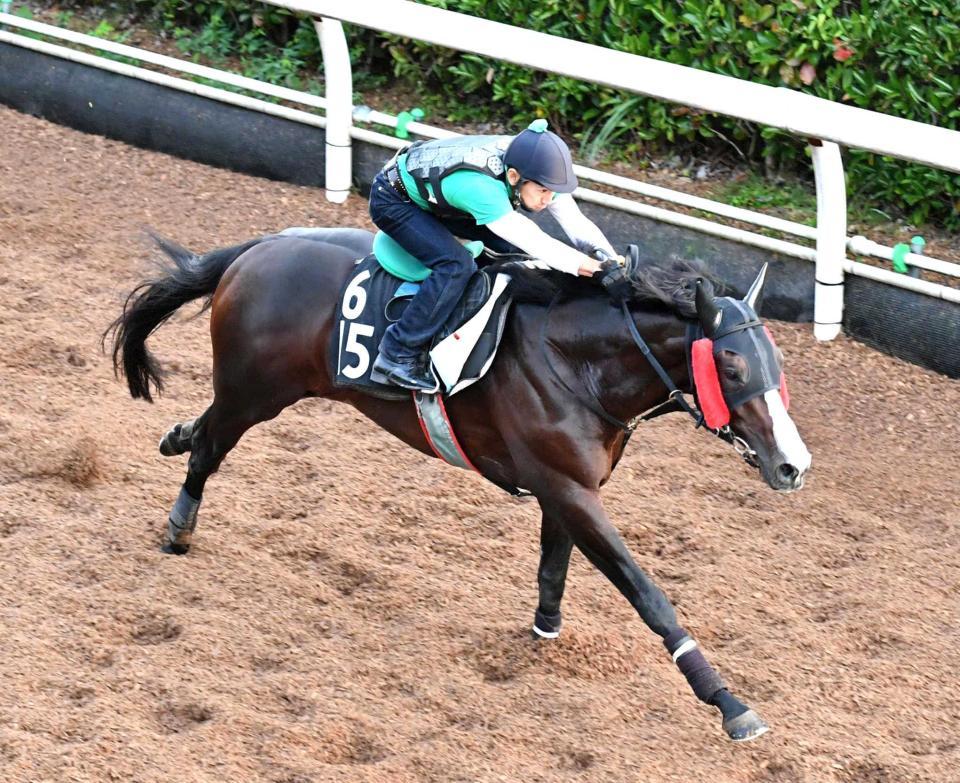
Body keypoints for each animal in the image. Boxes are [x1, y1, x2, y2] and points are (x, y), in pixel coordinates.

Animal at [105, 227, 808, 740]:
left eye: (776, 360)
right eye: (731, 363)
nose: (792, 466)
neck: (576, 357)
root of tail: (257, 249)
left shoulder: (567, 487)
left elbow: (554, 566)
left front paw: (545, 632)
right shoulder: (568, 487)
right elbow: (649, 595)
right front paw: (729, 703)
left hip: (254, 391)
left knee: (203, 432)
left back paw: (175, 438)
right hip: (255, 391)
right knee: (211, 448)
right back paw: (179, 528)